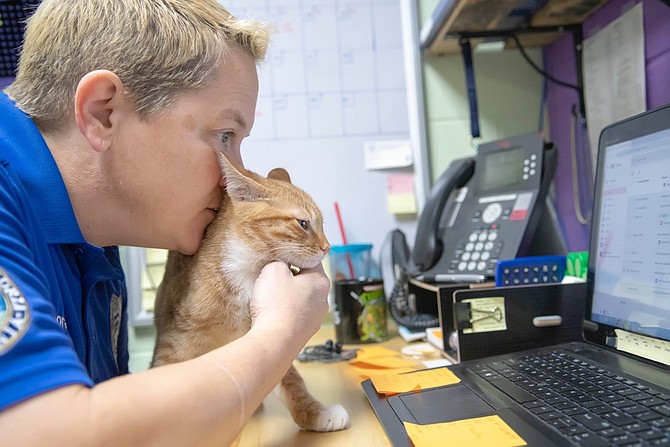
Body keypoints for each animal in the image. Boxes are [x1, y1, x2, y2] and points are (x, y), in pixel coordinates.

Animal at [152, 156, 350, 432]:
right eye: (303, 223)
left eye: (322, 225)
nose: (327, 247)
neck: (245, 271)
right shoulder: (174, 342)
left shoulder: (263, 337)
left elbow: (290, 378)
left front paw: (315, 412)